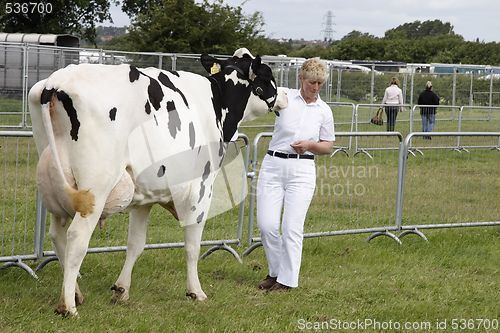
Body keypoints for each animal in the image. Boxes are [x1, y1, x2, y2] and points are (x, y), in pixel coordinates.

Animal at [29, 48, 288, 316]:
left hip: (56, 183)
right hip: (95, 189)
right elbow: (192, 245)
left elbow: (136, 244)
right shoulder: (201, 189)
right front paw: (196, 291)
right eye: (268, 75)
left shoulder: (145, 197)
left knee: (57, 235)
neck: (216, 101)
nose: (285, 96)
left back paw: (76, 294)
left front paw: (122, 290)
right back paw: (68, 306)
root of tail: (55, 82)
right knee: (76, 238)